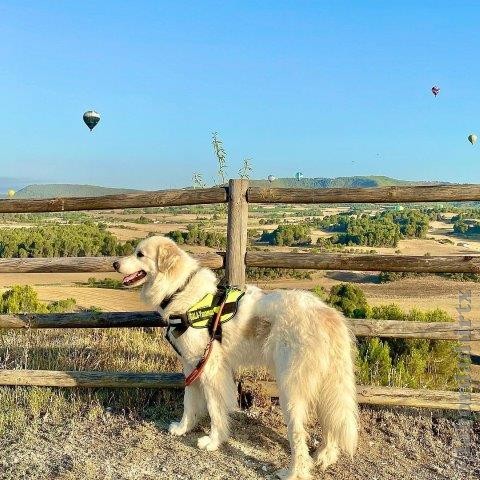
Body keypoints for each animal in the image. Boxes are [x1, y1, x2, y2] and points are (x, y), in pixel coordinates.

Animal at [114, 236, 358, 480]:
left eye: (140, 254)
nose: (115, 264)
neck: (179, 288)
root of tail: (328, 314)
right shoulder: (191, 365)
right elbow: (189, 402)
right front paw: (183, 429)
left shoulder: (210, 369)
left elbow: (214, 408)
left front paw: (213, 442)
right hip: (326, 386)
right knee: (330, 423)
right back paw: (324, 456)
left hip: (291, 389)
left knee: (298, 434)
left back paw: (294, 472)